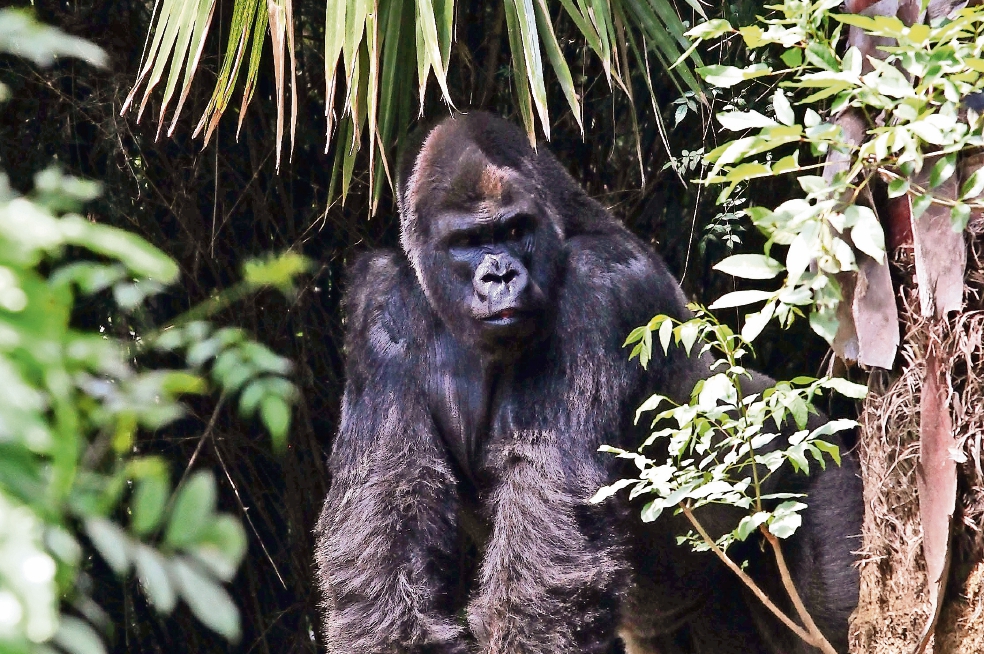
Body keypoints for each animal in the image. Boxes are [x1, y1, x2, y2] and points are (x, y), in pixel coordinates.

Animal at [316, 113, 860, 654]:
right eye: (468, 242)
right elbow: (390, 512)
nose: (500, 276)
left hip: (820, 470)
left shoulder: (597, 285)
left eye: (515, 229)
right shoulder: (378, 299)